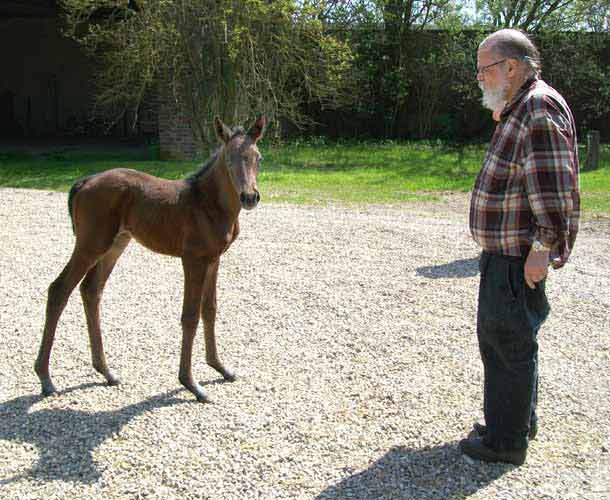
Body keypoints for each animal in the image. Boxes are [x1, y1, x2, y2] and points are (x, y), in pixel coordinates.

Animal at [34, 114, 264, 402]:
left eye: (258, 157)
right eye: (230, 157)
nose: (250, 197)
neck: (208, 203)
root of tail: (84, 181)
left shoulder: (214, 259)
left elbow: (209, 310)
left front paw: (220, 367)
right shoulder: (193, 259)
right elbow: (190, 315)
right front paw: (191, 383)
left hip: (116, 244)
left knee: (91, 290)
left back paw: (106, 372)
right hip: (90, 244)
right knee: (59, 289)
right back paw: (46, 378)